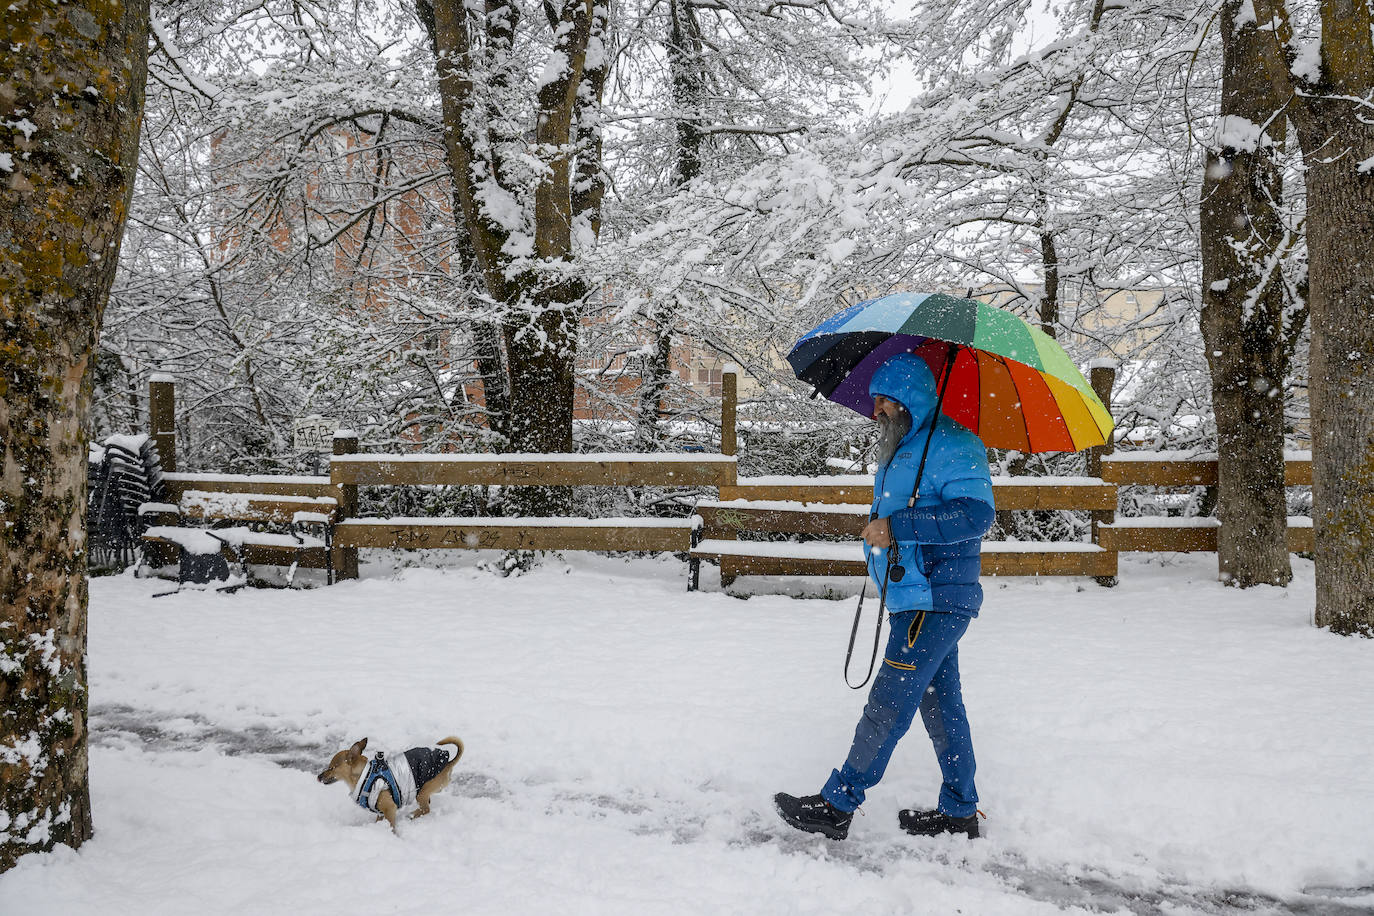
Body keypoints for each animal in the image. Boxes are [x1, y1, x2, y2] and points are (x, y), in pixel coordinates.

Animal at [317, 736, 464, 829]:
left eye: (331, 767)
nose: (318, 776)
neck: (364, 775)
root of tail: (448, 763)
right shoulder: (380, 812)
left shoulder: (389, 809)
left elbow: (392, 827)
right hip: (423, 793)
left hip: (421, 793)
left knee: (425, 809)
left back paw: (410, 816)